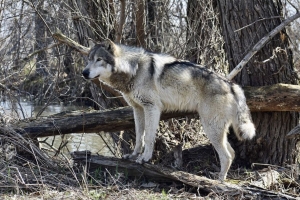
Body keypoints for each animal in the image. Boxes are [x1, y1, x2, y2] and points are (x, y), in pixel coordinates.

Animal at [82, 39, 255, 181]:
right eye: (89, 59)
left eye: (99, 59)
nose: (84, 72)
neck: (134, 69)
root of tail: (232, 85)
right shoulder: (137, 109)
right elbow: (139, 137)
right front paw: (133, 156)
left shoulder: (152, 108)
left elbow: (148, 137)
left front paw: (144, 158)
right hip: (216, 129)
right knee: (232, 153)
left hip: (210, 127)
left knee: (226, 156)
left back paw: (218, 182)